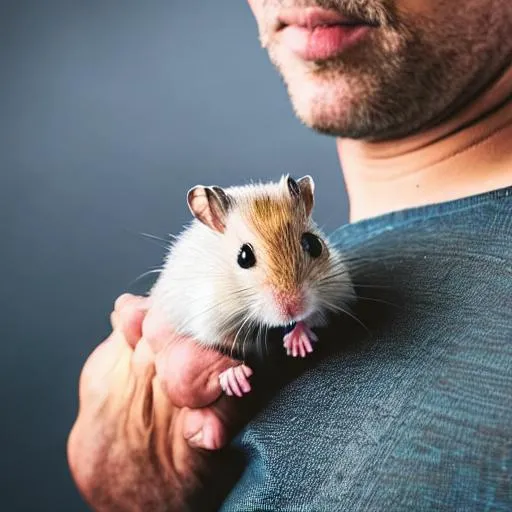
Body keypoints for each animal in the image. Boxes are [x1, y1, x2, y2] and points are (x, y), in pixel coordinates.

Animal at [150, 175, 354, 396]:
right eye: (244, 257)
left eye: (314, 244)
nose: (293, 309)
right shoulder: (209, 317)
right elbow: (223, 348)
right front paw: (237, 381)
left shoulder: (335, 290)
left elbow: (316, 316)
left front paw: (298, 344)